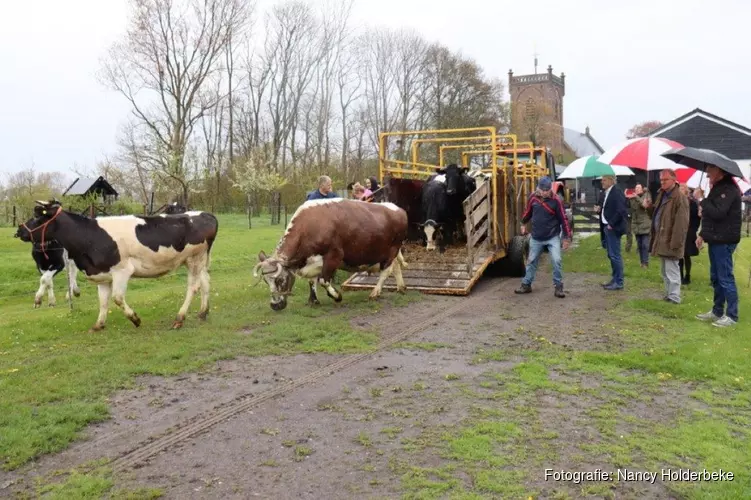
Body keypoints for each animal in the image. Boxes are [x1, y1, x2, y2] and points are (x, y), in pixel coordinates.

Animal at [18, 199, 217, 332]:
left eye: (37, 215)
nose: (19, 230)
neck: (89, 236)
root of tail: (206, 214)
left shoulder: (122, 271)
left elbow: (117, 298)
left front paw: (135, 319)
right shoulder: (101, 275)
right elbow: (103, 301)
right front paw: (98, 324)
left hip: (194, 258)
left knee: (193, 287)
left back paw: (180, 318)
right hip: (199, 260)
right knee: (206, 281)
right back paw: (203, 313)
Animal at [253, 198, 408, 308]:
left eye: (279, 279)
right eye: (266, 281)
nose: (275, 306)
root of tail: (398, 209)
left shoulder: (333, 256)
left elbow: (323, 280)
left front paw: (337, 296)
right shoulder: (313, 261)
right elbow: (312, 281)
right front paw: (313, 300)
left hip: (392, 250)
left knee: (386, 271)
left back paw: (375, 293)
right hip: (389, 253)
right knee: (396, 267)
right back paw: (400, 287)